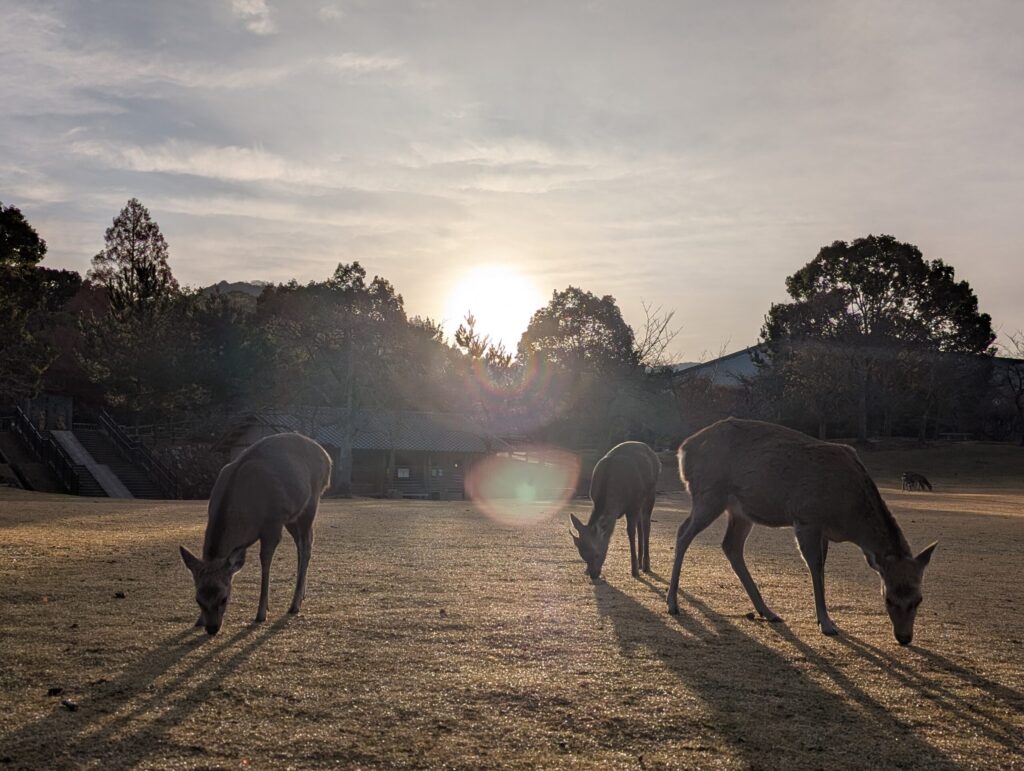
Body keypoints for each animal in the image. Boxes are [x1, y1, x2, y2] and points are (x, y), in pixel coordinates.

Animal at [179, 432, 332, 635]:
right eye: (198, 599)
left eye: (224, 598)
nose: (212, 628)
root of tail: (327, 458)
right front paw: (198, 620)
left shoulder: (272, 524)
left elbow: (265, 561)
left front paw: (261, 613)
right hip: (292, 517)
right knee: (302, 544)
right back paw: (302, 595)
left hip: (311, 503)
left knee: (306, 544)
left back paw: (294, 604)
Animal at [570, 441, 661, 580]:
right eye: (583, 556)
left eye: (597, 554)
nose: (593, 574)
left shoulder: (633, 503)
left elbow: (630, 532)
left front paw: (634, 570)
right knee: (641, 524)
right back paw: (640, 562)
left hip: (651, 494)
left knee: (646, 524)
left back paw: (645, 565)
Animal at [666, 418, 937, 645]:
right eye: (888, 598)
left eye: (919, 599)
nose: (904, 637)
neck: (848, 515)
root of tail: (683, 449)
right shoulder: (807, 518)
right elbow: (815, 567)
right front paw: (826, 624)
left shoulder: (824, 530)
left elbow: (823, 567)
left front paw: (827, 619)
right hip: (709, 493)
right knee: (683, 533)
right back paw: (672, 603)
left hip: (740, 511)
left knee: (730, 546)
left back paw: (768, 611)